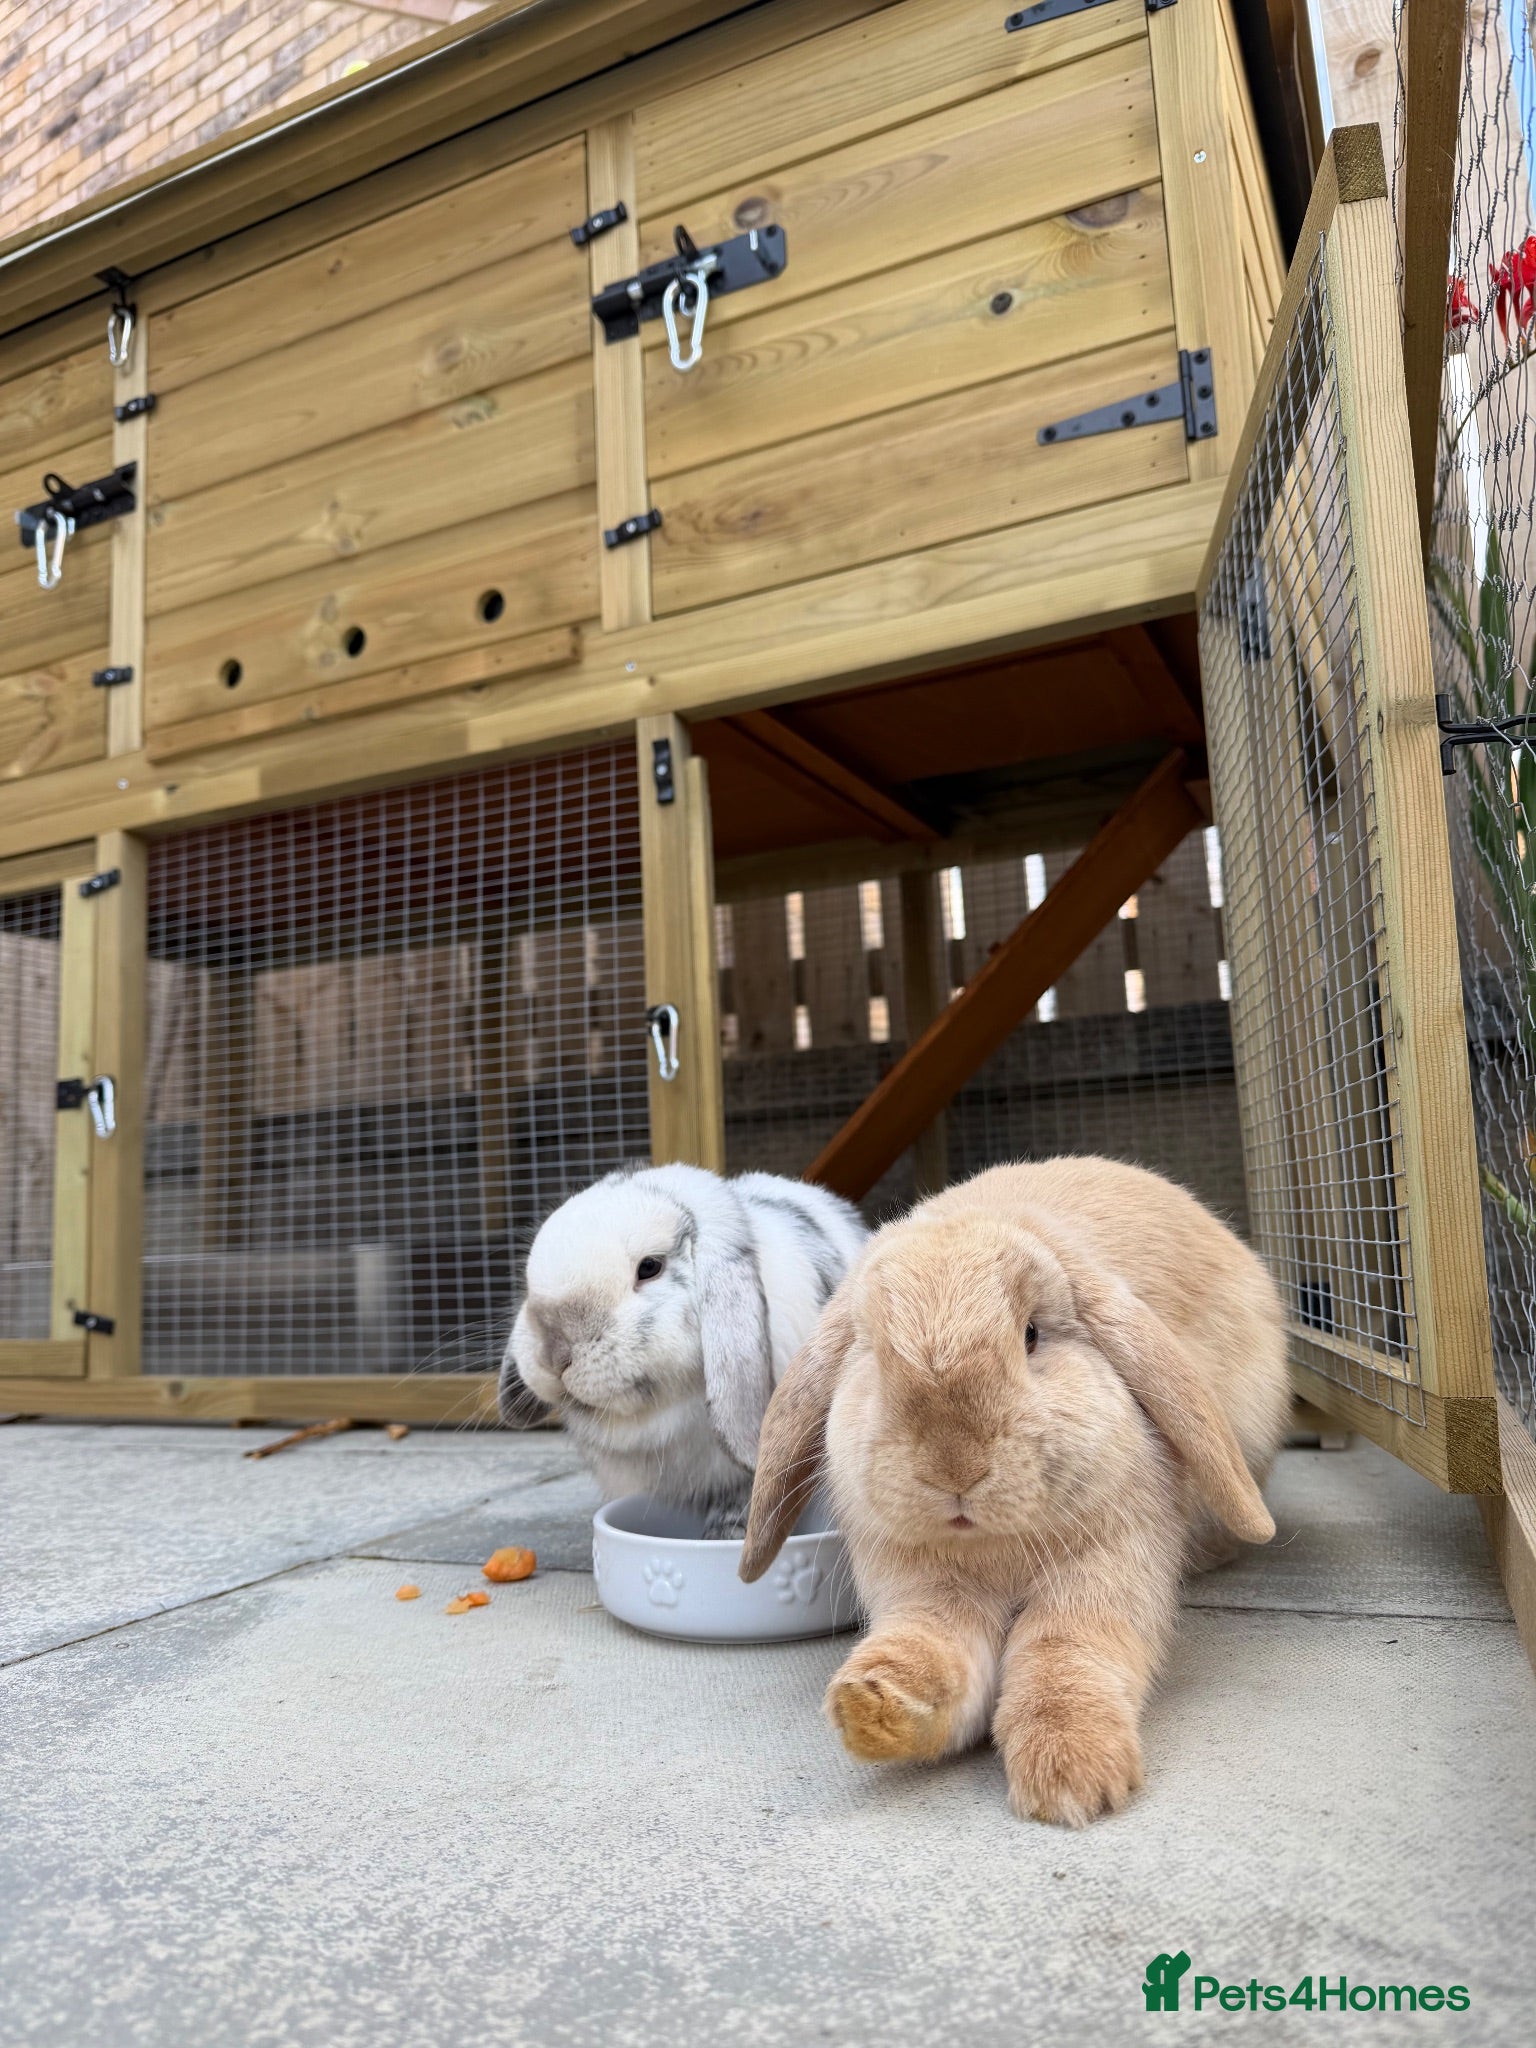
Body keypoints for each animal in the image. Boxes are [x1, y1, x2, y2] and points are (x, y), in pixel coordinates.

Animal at [739, 1156, 1289, 1826]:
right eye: (872, 1353)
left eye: (1031, 1335)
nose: (954, 1470)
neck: (993, 1547)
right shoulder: (927, 1591)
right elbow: (931, 1650)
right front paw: (871, 1708)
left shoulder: (1102, 1573)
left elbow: (1062, 1654)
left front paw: (1072, 1773)